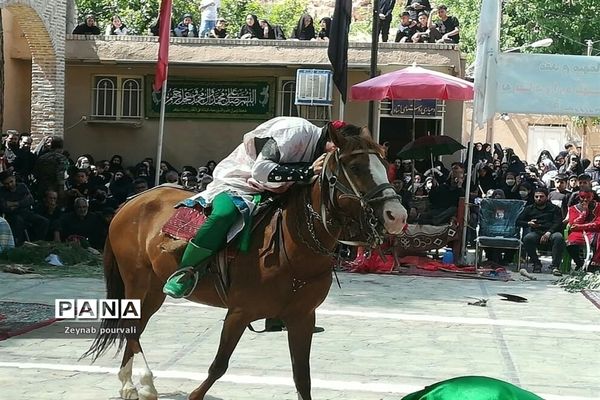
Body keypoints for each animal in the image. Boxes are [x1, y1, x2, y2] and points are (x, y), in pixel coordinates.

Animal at [82, 128, 408, 400]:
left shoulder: (302, 317)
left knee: (134, 327)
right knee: (131, 328)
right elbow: (218, 366)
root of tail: (130, 202)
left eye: (384, 165)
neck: (295, 250)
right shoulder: (239, 313)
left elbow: (302, 378)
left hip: (153, 290)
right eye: (356, 168)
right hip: (137, 282)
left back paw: (130, 384)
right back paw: (144, 383)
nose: (397, 215)